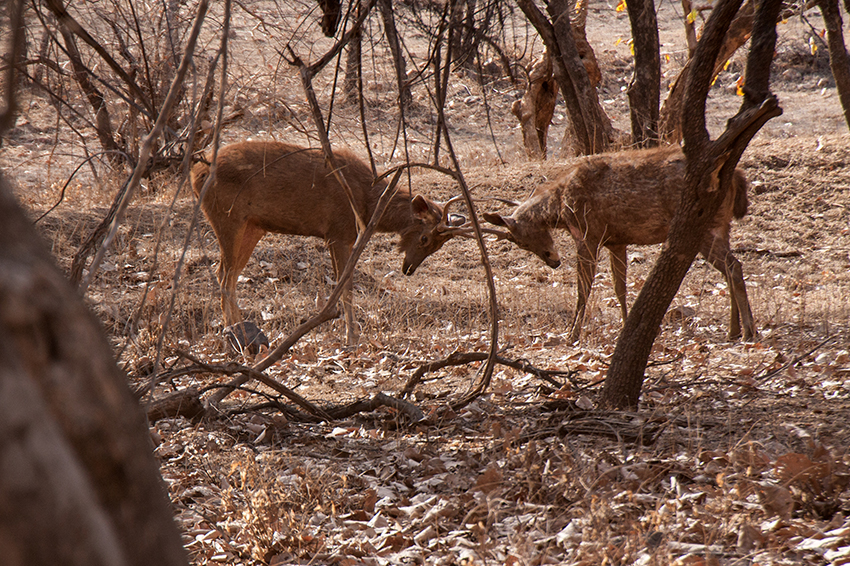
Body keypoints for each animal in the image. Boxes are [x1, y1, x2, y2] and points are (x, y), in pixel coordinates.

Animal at [192, 141, 468, 346]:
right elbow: (345, 286)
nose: (408, 269)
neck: (367, 205)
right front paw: (352, 337)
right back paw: (234, 334)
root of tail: (196, 174)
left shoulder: (346, 236)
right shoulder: (337, 232)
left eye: (438, 246)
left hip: (252, 226)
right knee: (225, 275)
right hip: (227, 217)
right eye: (424, 238)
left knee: (226, 273)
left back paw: (239, 331)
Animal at [484, 146, 756, 344]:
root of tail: (737, 177)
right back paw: (735, 329)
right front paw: (626, 326)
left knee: (733, 267)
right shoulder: (616, 241)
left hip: (703, 227)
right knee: (730, 268)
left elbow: (583, 287)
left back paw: (747, 331)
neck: (561, 208)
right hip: (722, 226)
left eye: (520, 240)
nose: (553, 260)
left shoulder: (588, 234)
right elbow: (619, 287)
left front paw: (572, 334)